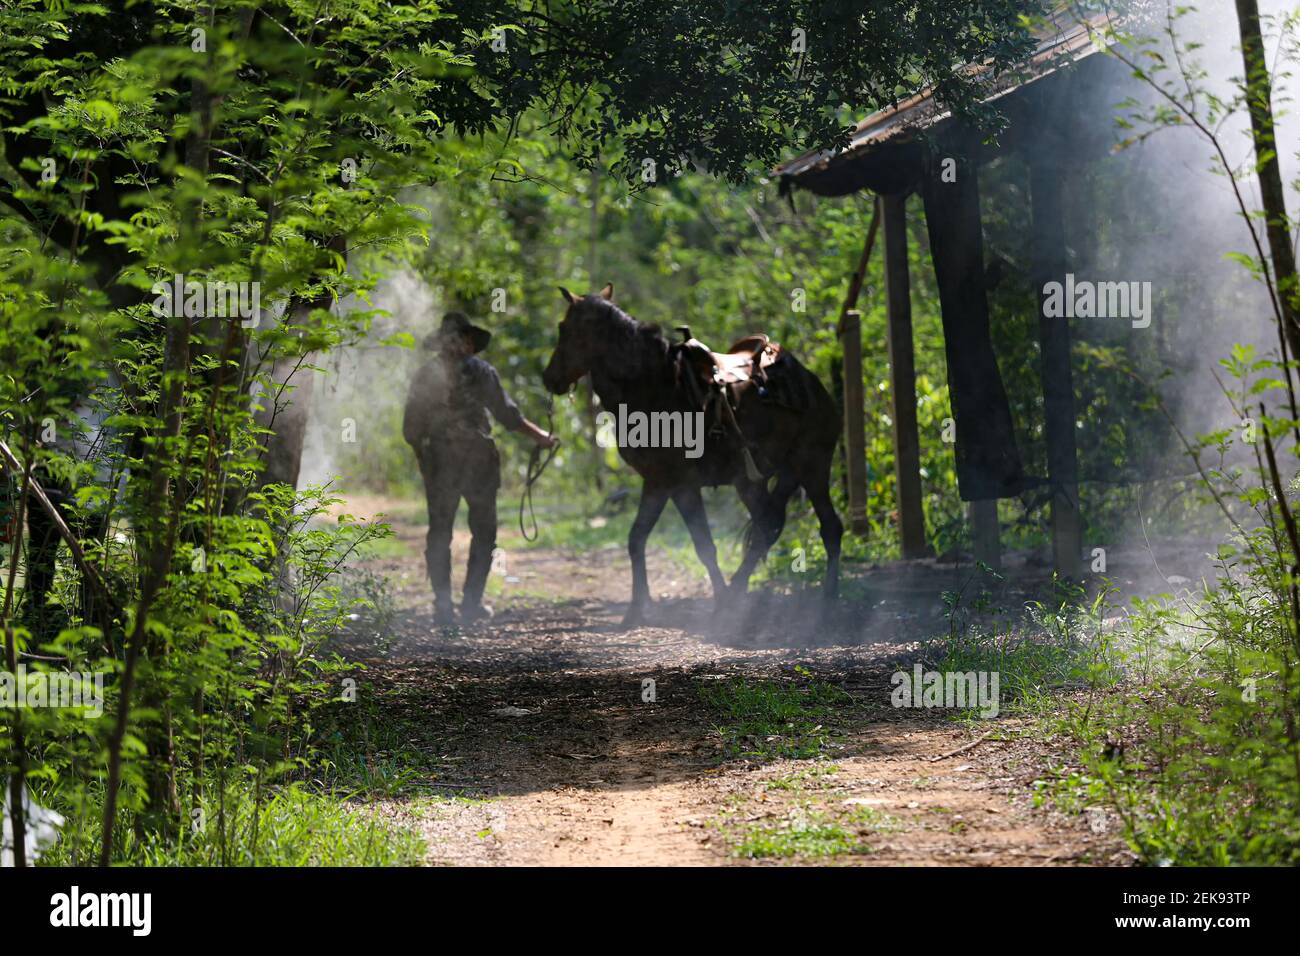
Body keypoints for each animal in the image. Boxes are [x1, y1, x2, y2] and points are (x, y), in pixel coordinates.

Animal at [538, 283, 842, 629]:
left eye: (563, 328)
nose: (549, 378)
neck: (652, 389)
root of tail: (815, 387)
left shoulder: (682, 485)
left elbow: (703, 545)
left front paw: (720, 604)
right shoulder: (657, 483)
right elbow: (636, 538)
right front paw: (636, 610)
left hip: (813, 466)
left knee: (826, 528)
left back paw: (821, 601)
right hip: (763, 480)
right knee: (771, 527)